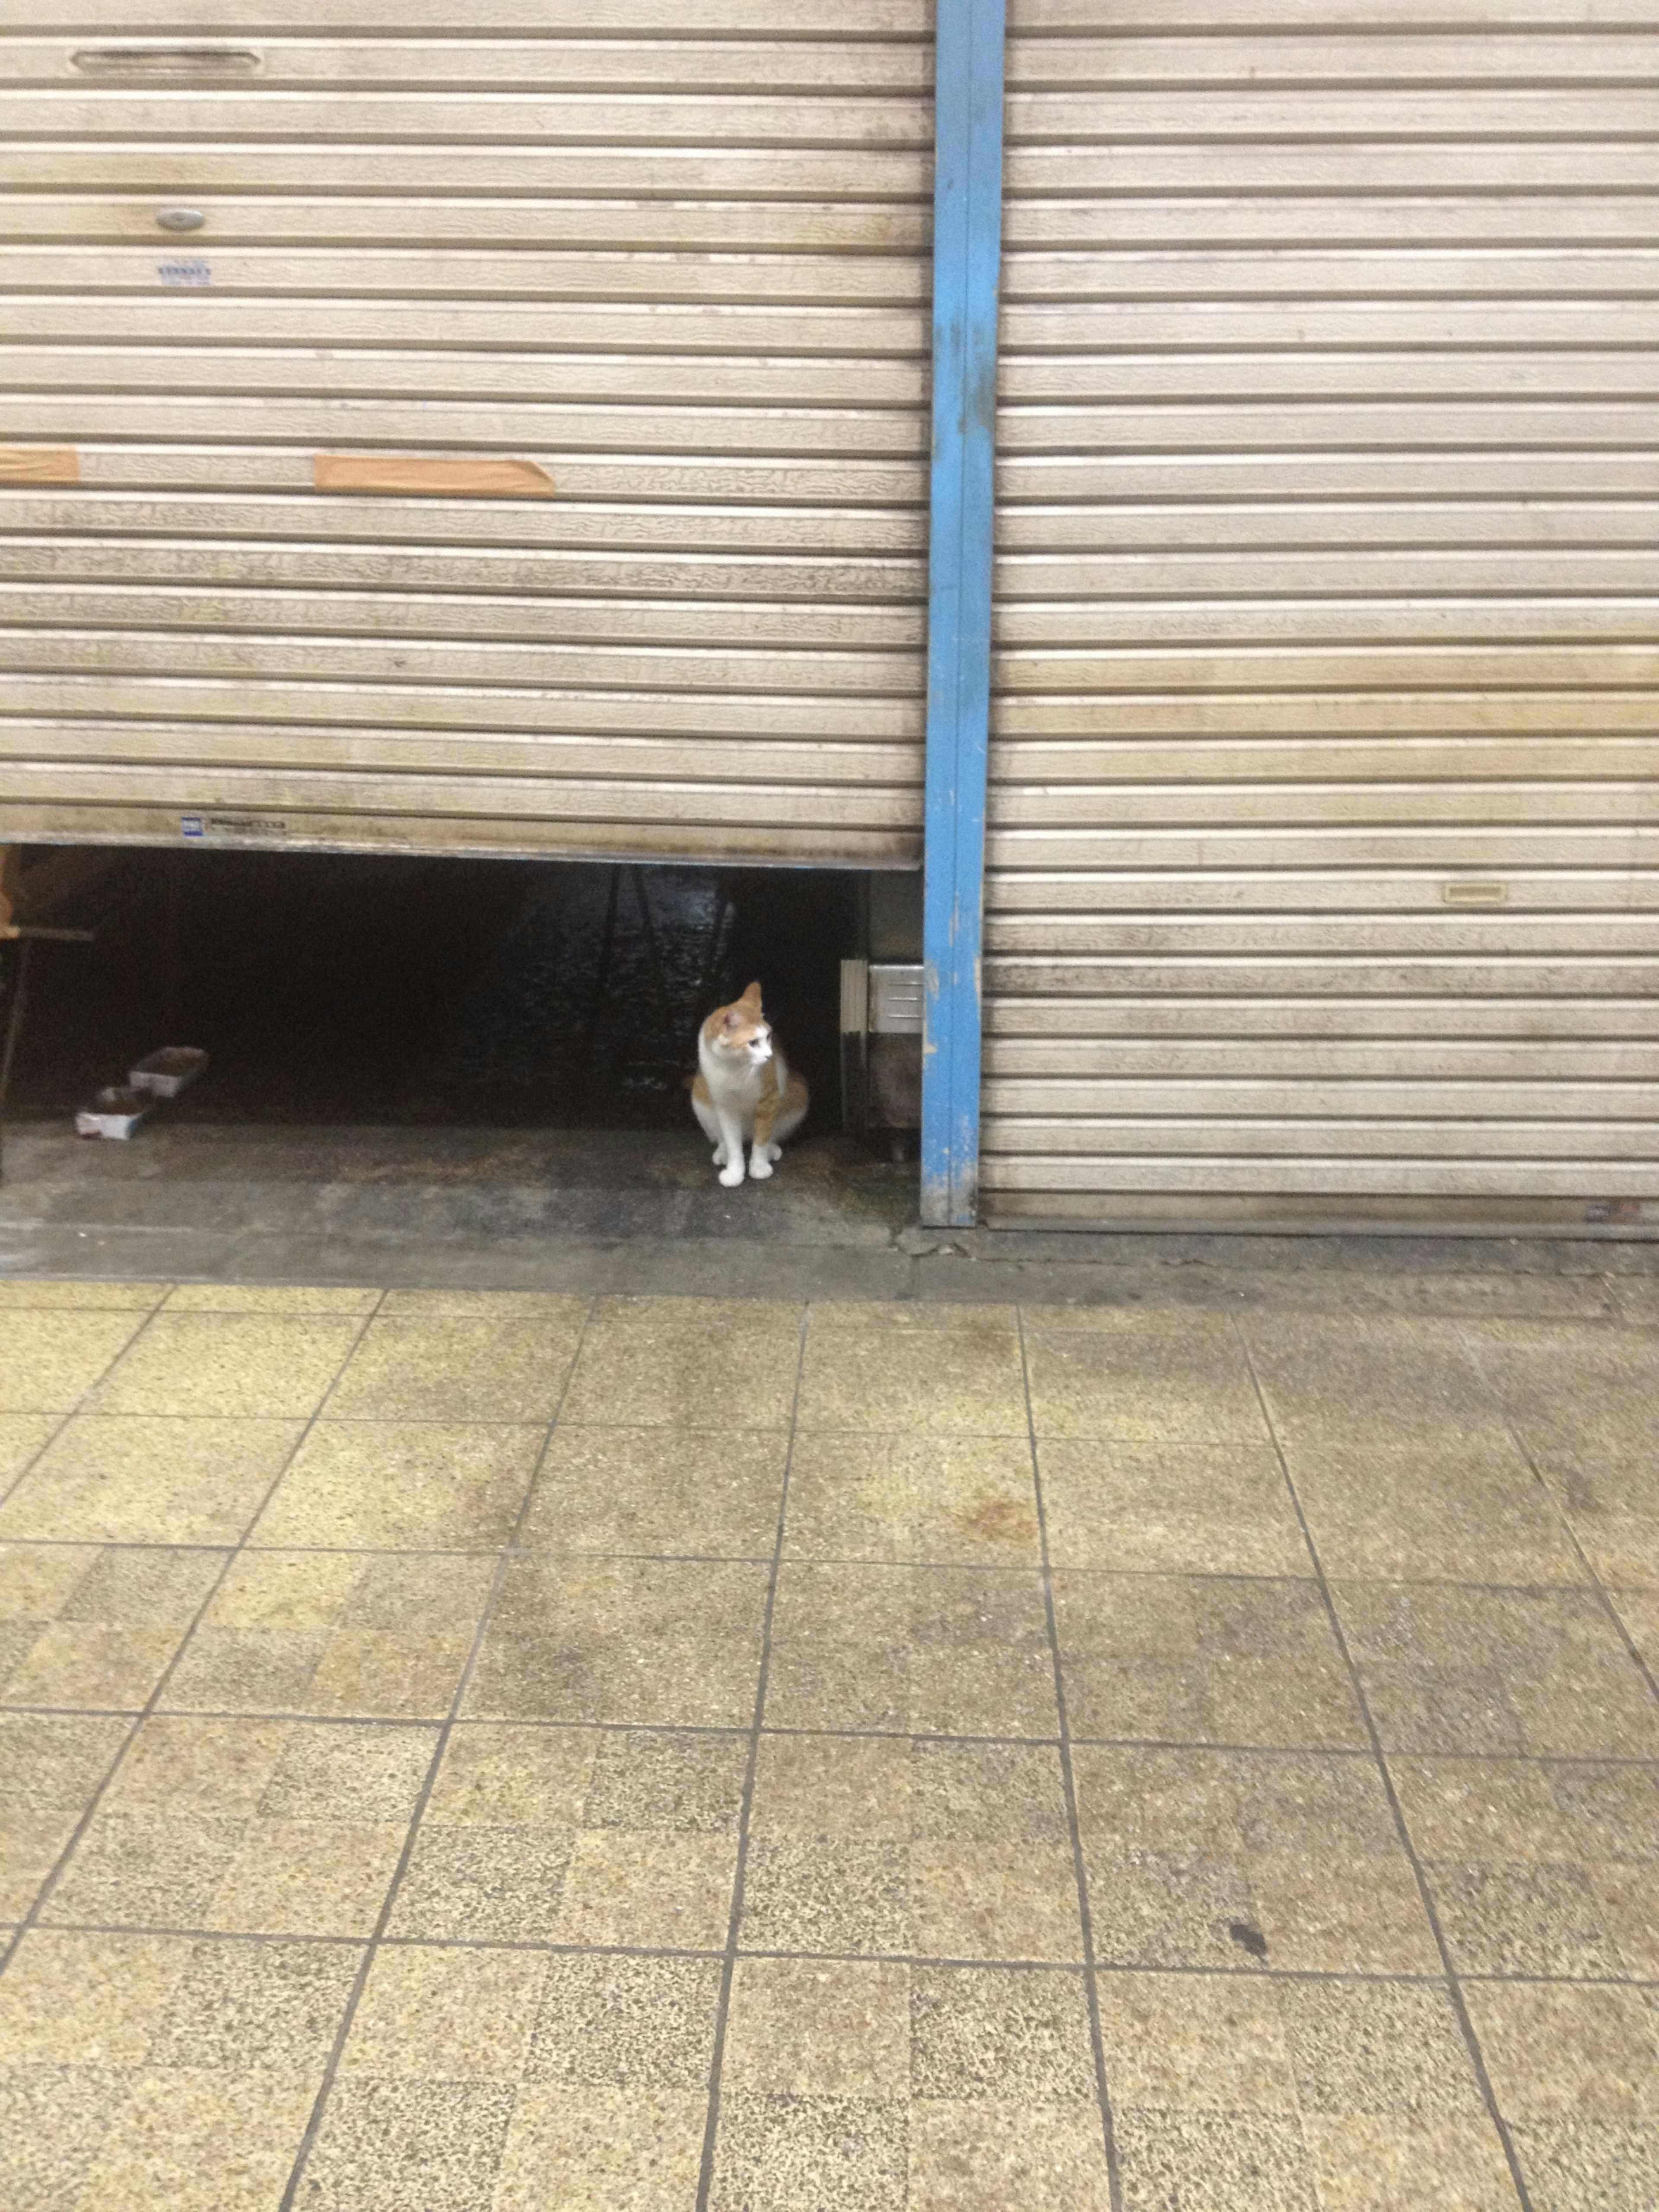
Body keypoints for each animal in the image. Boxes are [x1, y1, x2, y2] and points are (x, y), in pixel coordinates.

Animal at [690, 991, 809, 1194]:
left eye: (769, 1037)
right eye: (753, 1043)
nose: (769, 1056)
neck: (736, 1068)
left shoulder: (768, 1100)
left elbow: (762, 1137)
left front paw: (759, 1167)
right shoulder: (725, 1105)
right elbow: (732, 1142)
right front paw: (735, 1172)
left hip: (798, 1094)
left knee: (768, 1135)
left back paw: (771, 1150)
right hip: (699, 1095)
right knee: (723, 1138)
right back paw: (723, 1152)